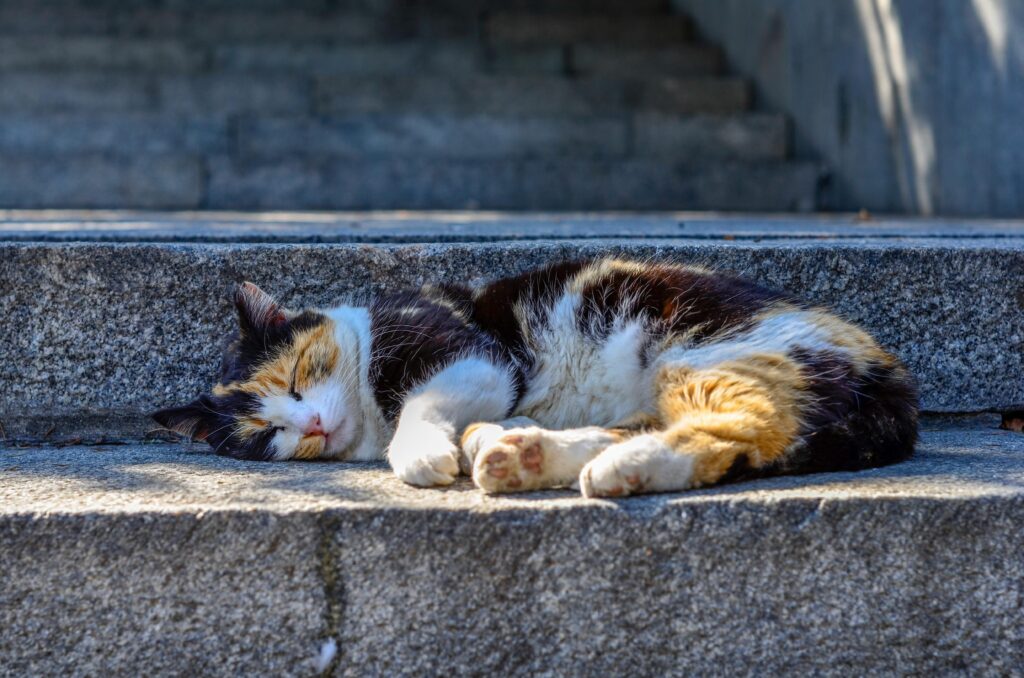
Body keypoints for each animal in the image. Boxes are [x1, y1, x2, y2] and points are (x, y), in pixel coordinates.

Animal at [153, 260, 921, 499]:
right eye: (263, 434)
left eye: (295, 375)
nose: (310, 423)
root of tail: (893, 381)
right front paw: (472, 445)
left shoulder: (475, 355)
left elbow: (423, 403)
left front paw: (422, 454)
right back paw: (522, 455)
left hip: (711, 358)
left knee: (733, 431)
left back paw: (615, 472)